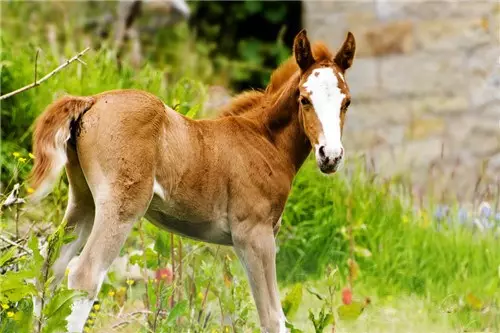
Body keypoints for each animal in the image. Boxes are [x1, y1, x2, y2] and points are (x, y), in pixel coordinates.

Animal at [29, 29, 356, 332]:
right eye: (304, 99)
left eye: (346, 103)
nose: (331, 156)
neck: (264, 141)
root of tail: (93, 100)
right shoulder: (254, 234)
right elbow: (272, 318)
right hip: (121, 206)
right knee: (84, 275)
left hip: (84, 200)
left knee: (49, 268)